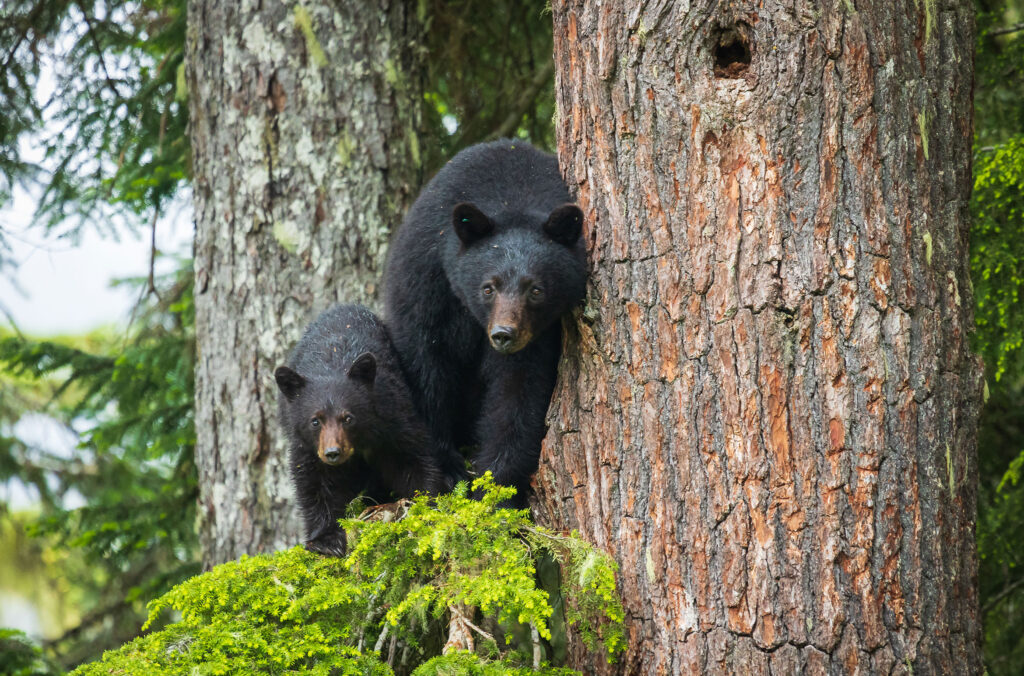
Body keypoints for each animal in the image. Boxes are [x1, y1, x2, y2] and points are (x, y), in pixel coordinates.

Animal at [274, 305, 446, 553]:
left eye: (348, 418)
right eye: (315, 421)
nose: (333, 453)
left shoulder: (393, 419)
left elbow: (414, 458)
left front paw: (425, 504)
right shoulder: (305, 445)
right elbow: (314, 484)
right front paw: (327, 540)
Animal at [380, 140, 585, 503]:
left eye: (536, 289)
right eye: (488, 287)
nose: (504, 334)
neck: (512, 195)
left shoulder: (539, 337)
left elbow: (518, 394)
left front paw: (494, 486)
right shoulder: (426, 279)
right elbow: (425, 366)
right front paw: (447, 470)